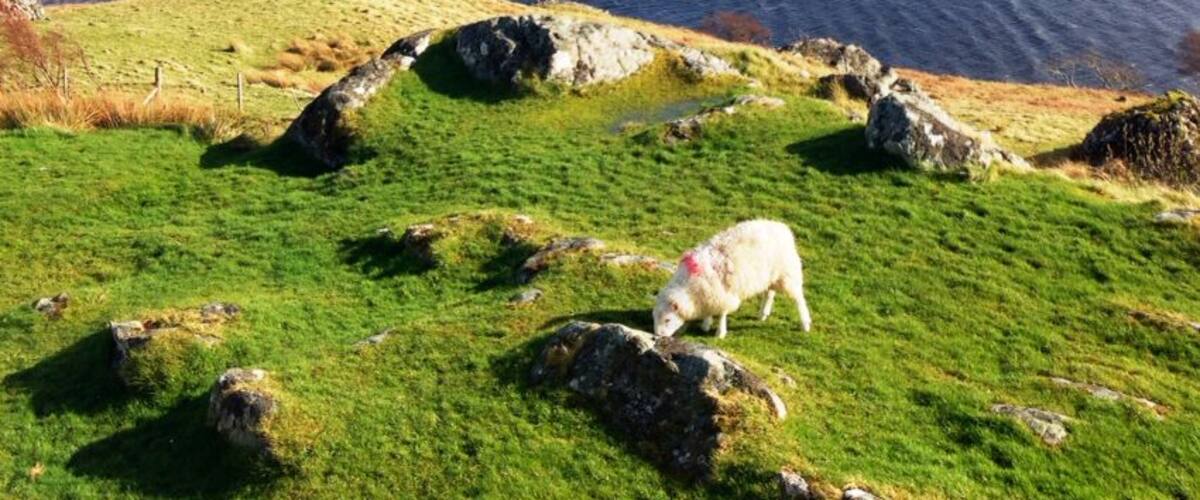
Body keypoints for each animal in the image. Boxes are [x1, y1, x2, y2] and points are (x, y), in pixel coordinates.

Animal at [653, 220, 812, 338]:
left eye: (667, 319)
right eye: (654, 317)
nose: (658, 335)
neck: (690, 286)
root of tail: (782, 228)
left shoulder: (722, 293)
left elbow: (722, 313)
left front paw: (720, 333)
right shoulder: (709, 293)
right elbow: (710, 310)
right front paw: (706, 324)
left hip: (788, 274)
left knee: (799, 298)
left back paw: (805, 323)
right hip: (771, 276)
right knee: (769, 293)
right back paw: (763, 314)